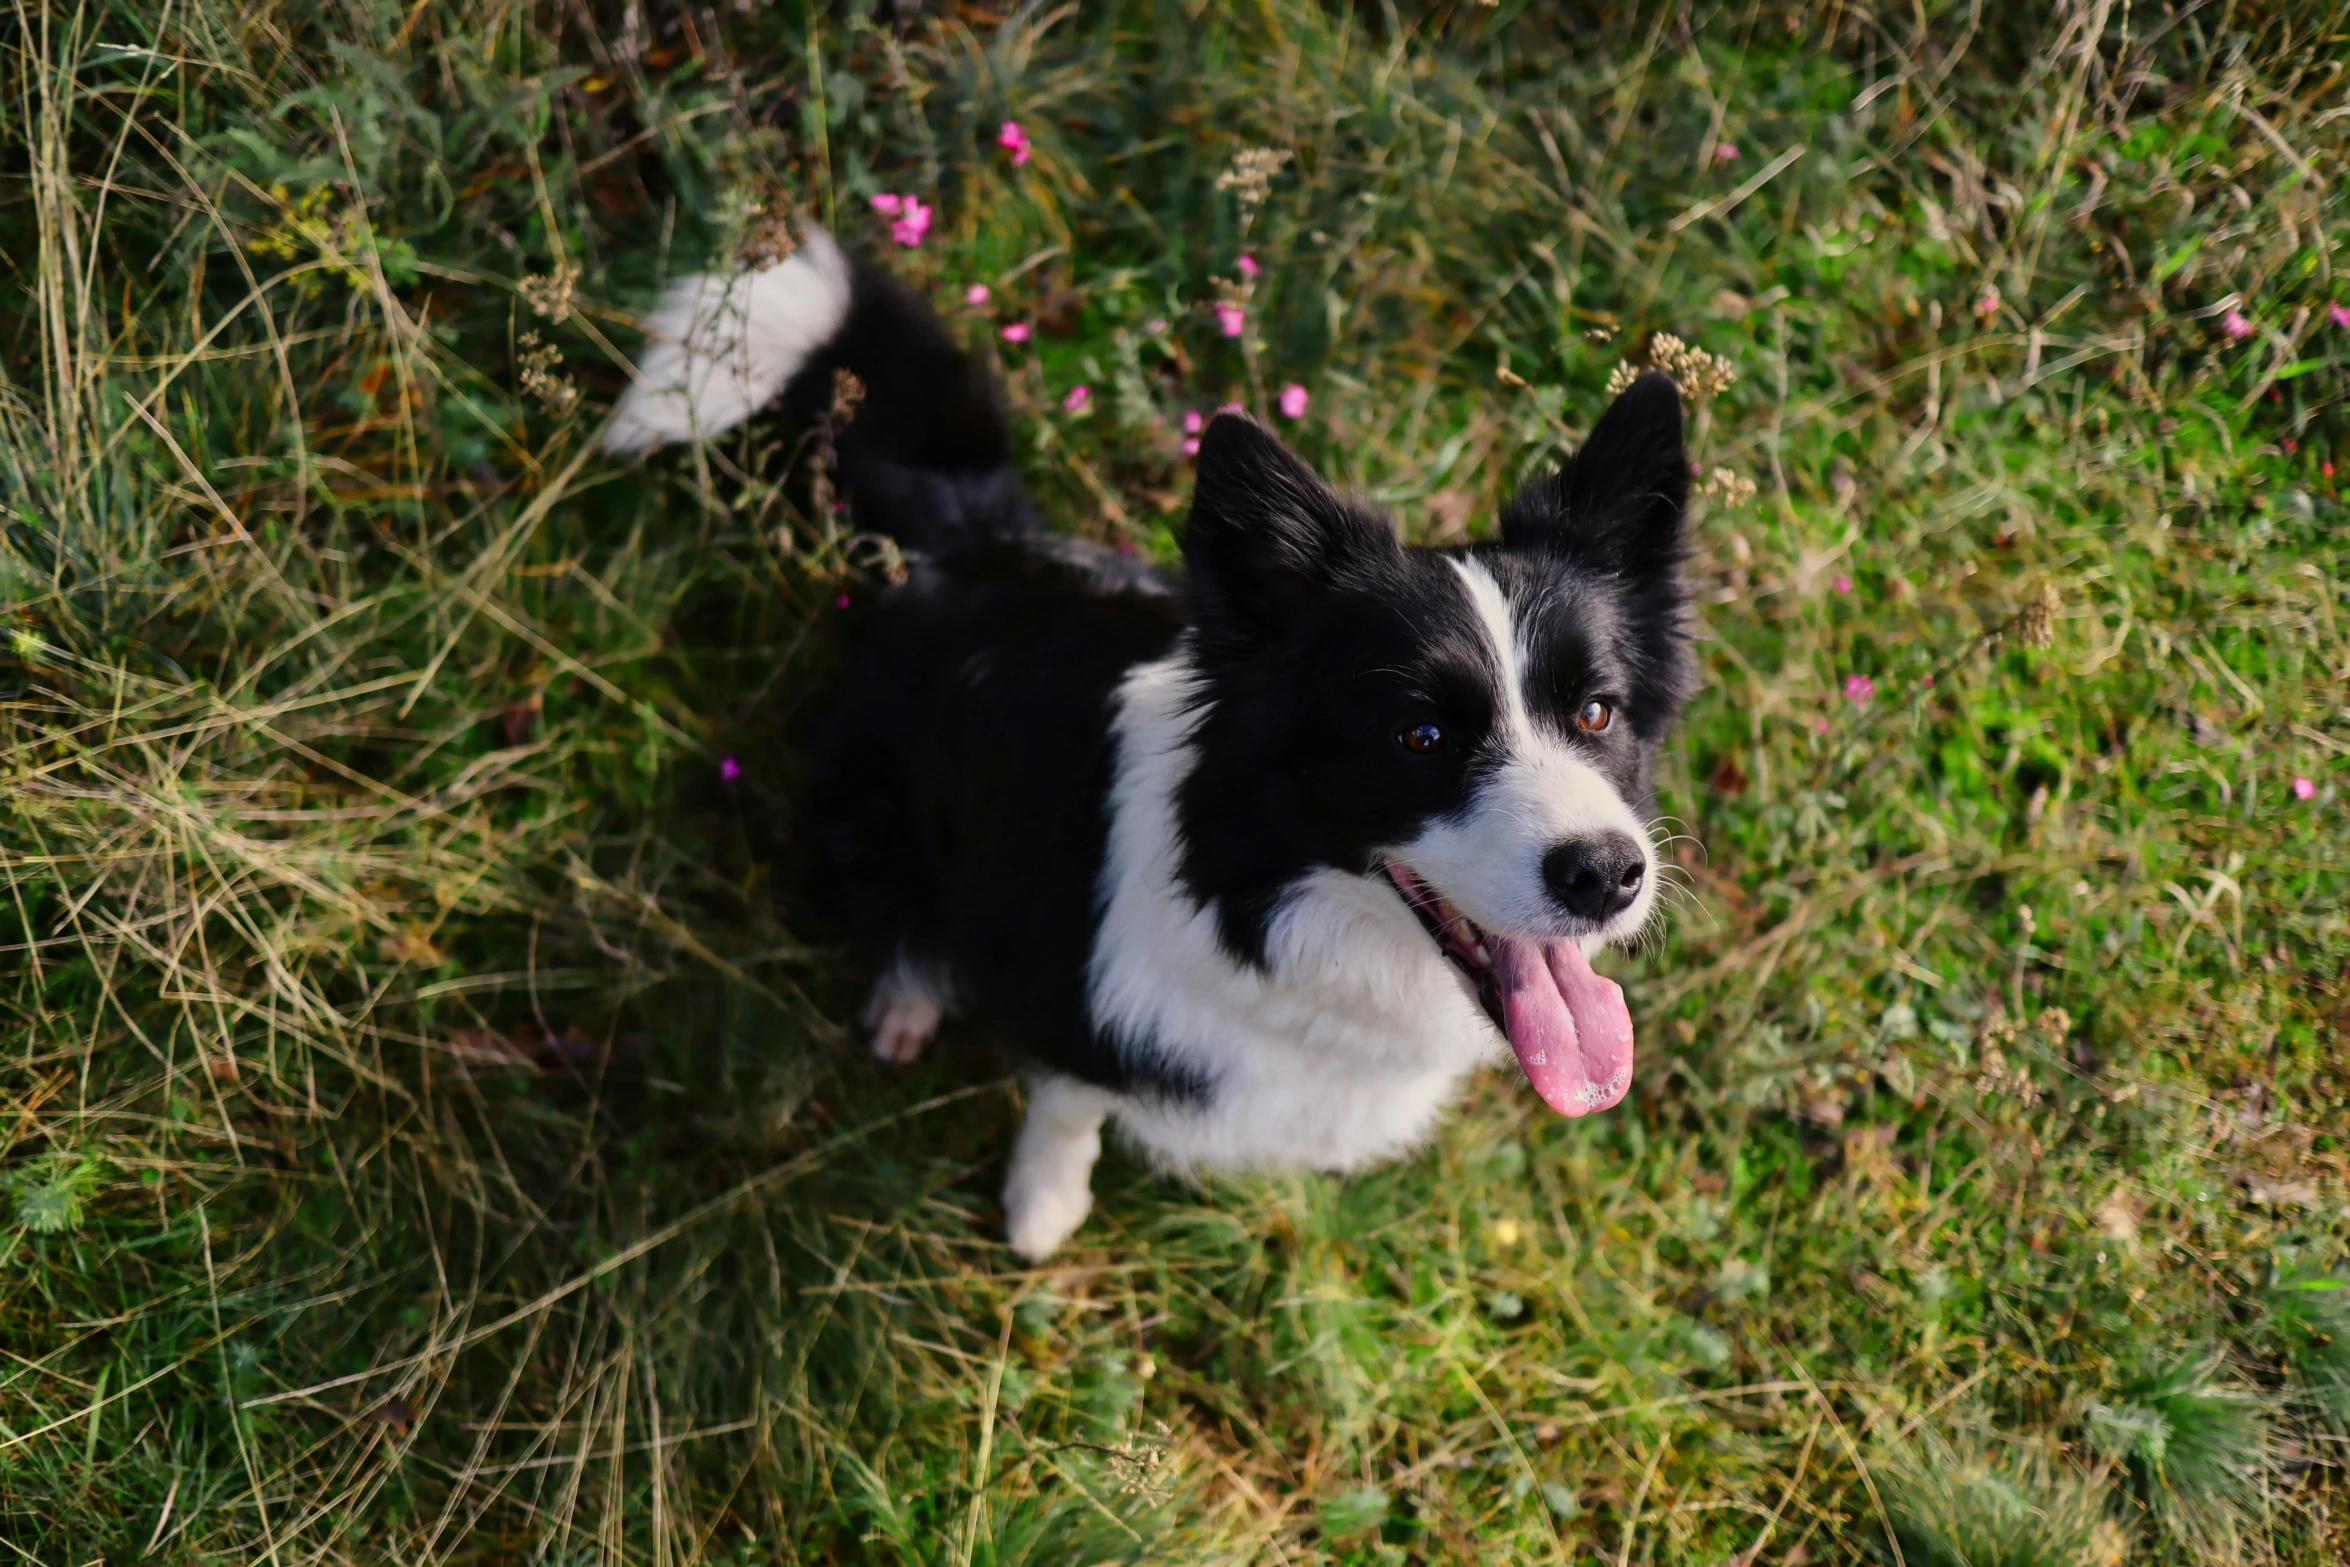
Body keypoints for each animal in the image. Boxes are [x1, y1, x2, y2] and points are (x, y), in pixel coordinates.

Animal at [611, 230, 1691, 1259]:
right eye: (1419, 735)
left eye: (1597, 712)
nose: (1606, 875)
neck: (1261, 914)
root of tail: (975, 542)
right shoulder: (1075, 992)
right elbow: (1067, 1100)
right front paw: (1042, 1206)